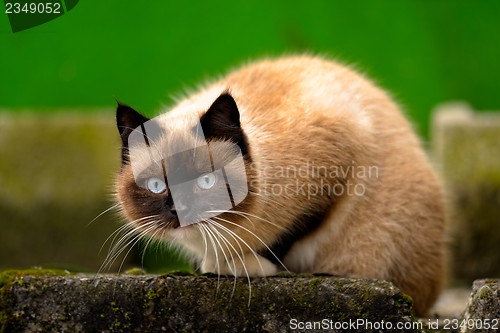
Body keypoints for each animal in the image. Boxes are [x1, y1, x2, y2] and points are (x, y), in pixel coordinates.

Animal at [115, 54, 448, 314]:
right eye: (157, 185)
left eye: (206, 180)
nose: (179, 210)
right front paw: (212, 263)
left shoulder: (334, 172)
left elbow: (288, 235)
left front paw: (247, 265)